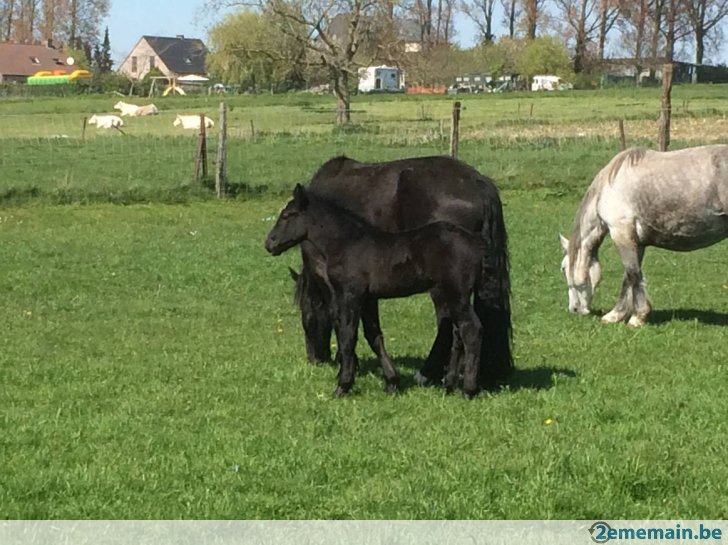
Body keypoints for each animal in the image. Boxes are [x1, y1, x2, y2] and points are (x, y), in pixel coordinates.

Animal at [264, 185, 486, 398]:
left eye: (288, 215)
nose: (269, 244)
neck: (347, 243)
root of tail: (474, 244)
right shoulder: (368, 299)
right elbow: (374, 336)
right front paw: (392, 382)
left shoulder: (350, 295)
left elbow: (347, 337)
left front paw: (342, 387)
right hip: (452, 295)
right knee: (457, 333)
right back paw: (449, 385)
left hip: (456, 293)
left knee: (471, 329)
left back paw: (468, 390)